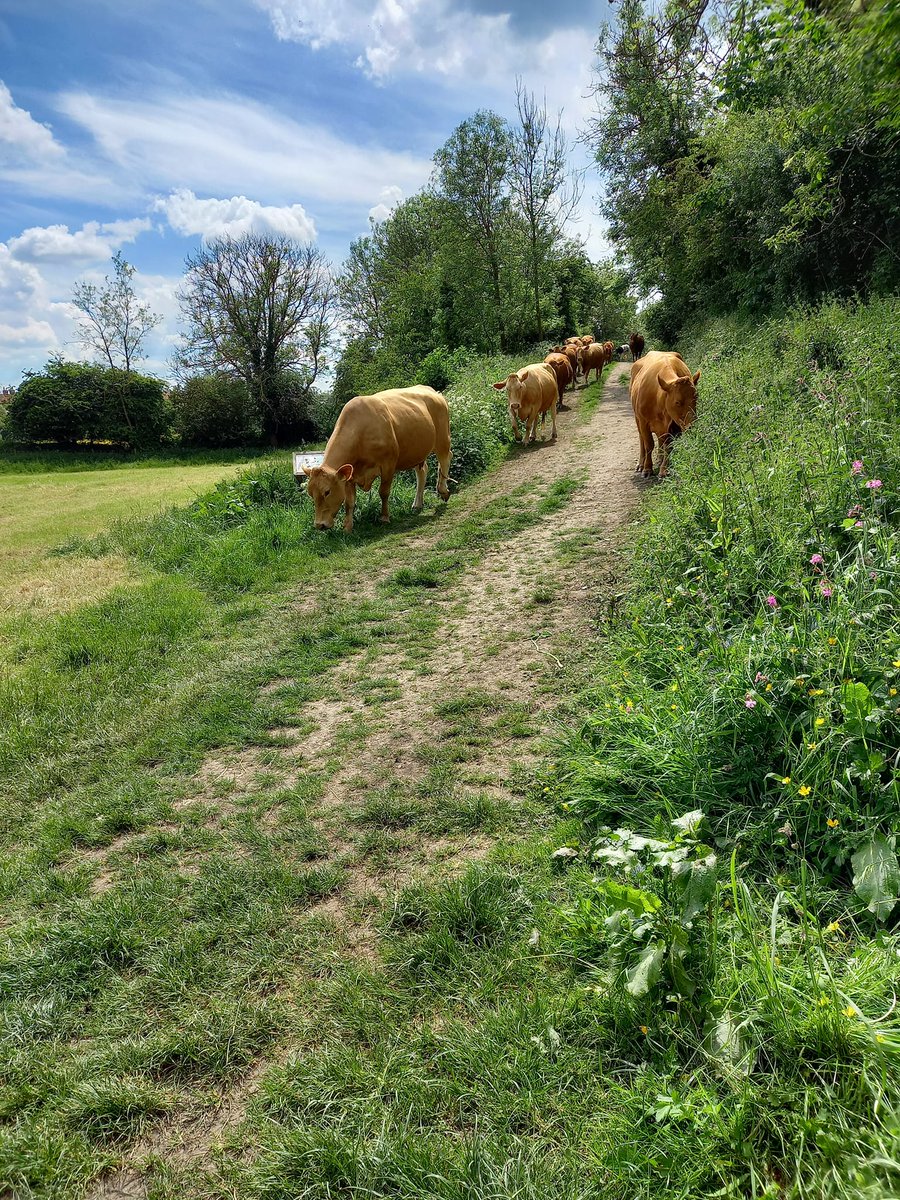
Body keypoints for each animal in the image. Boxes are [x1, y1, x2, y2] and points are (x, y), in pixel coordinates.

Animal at [298, 386, 452, 532]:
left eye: (327, 492)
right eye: (310, 493)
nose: (320, 525)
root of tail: (431, 390)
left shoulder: (388, 465)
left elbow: (383, 492)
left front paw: (384, 517)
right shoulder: (349, 476)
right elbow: (349, 502)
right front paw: (347, 527)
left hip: (443, 438)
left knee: (445, 458)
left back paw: (443, 490)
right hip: (417, 450)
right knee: (422, 471)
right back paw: (417, 504)